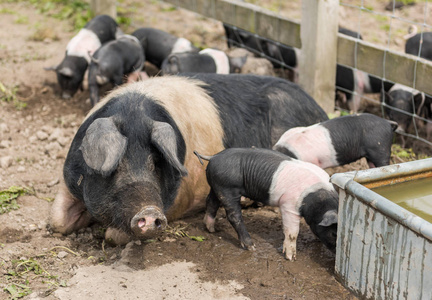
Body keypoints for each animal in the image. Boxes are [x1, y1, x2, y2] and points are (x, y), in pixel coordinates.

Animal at [49, 73, 328, 246]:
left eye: (156, 163)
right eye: (116, 167)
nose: (149, 211)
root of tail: (319, 108)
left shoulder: (178, 201)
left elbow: (113, 236)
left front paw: (107, 234)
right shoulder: (69, 177)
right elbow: (58, 222)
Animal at [194, 149, 340, 262]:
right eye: (334, 233)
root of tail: (213, 157)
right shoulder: (289, 206)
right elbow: (292, 233)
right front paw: (290, 258)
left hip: (216, 186)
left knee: (211, 201)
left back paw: (212, 229)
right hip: (227, 189)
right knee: (233, 215)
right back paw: (251, 246)